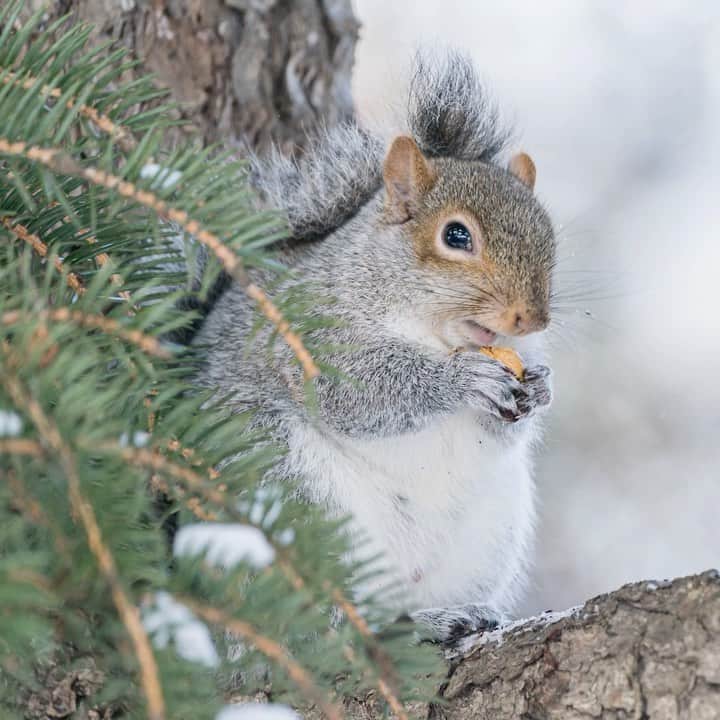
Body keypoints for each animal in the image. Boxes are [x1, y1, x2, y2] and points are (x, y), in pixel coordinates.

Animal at [194, 51, 556, 643]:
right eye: (456, 236)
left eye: (550, 236)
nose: (531, 318)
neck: (433, 332)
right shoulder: (309, 331)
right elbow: (355, 393)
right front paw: (461, 380)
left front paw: (541, 388)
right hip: (282, 493)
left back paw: (444, 615)